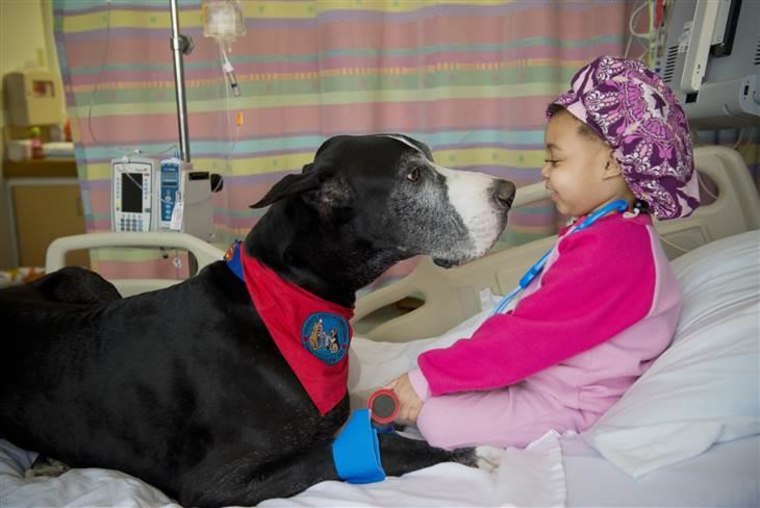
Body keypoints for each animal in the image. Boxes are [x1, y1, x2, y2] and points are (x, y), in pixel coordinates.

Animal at [1, 135, 516, 508]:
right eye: (413, 175)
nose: (508, 192)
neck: (287, 299)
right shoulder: (219, 482)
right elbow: (370, 451)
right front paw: (471, 451)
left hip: (84, 280)